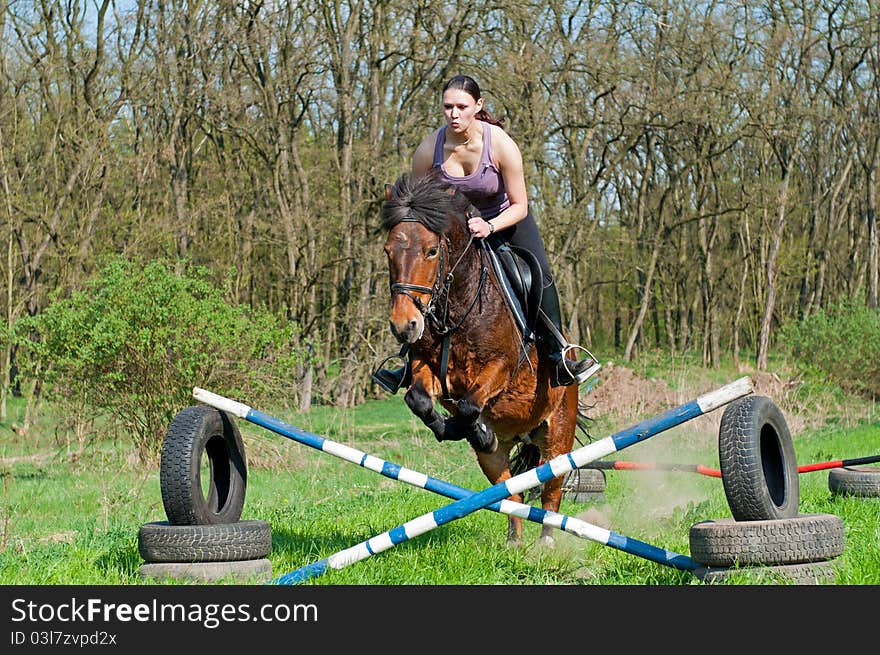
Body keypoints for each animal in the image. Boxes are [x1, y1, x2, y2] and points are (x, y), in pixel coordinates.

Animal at [382, 172, 588, 544]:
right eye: (388, 250)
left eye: (431, 251)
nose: (405, 326)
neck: (457, 304)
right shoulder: (430, 368)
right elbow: (419, 399)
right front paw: (459, 429)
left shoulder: (501, 367)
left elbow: (468, 405)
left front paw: (469, 428)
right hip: (498, 457)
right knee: (512, 495)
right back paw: (513, 543)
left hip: (558, 434)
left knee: (551, 492)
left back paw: (547, 543)